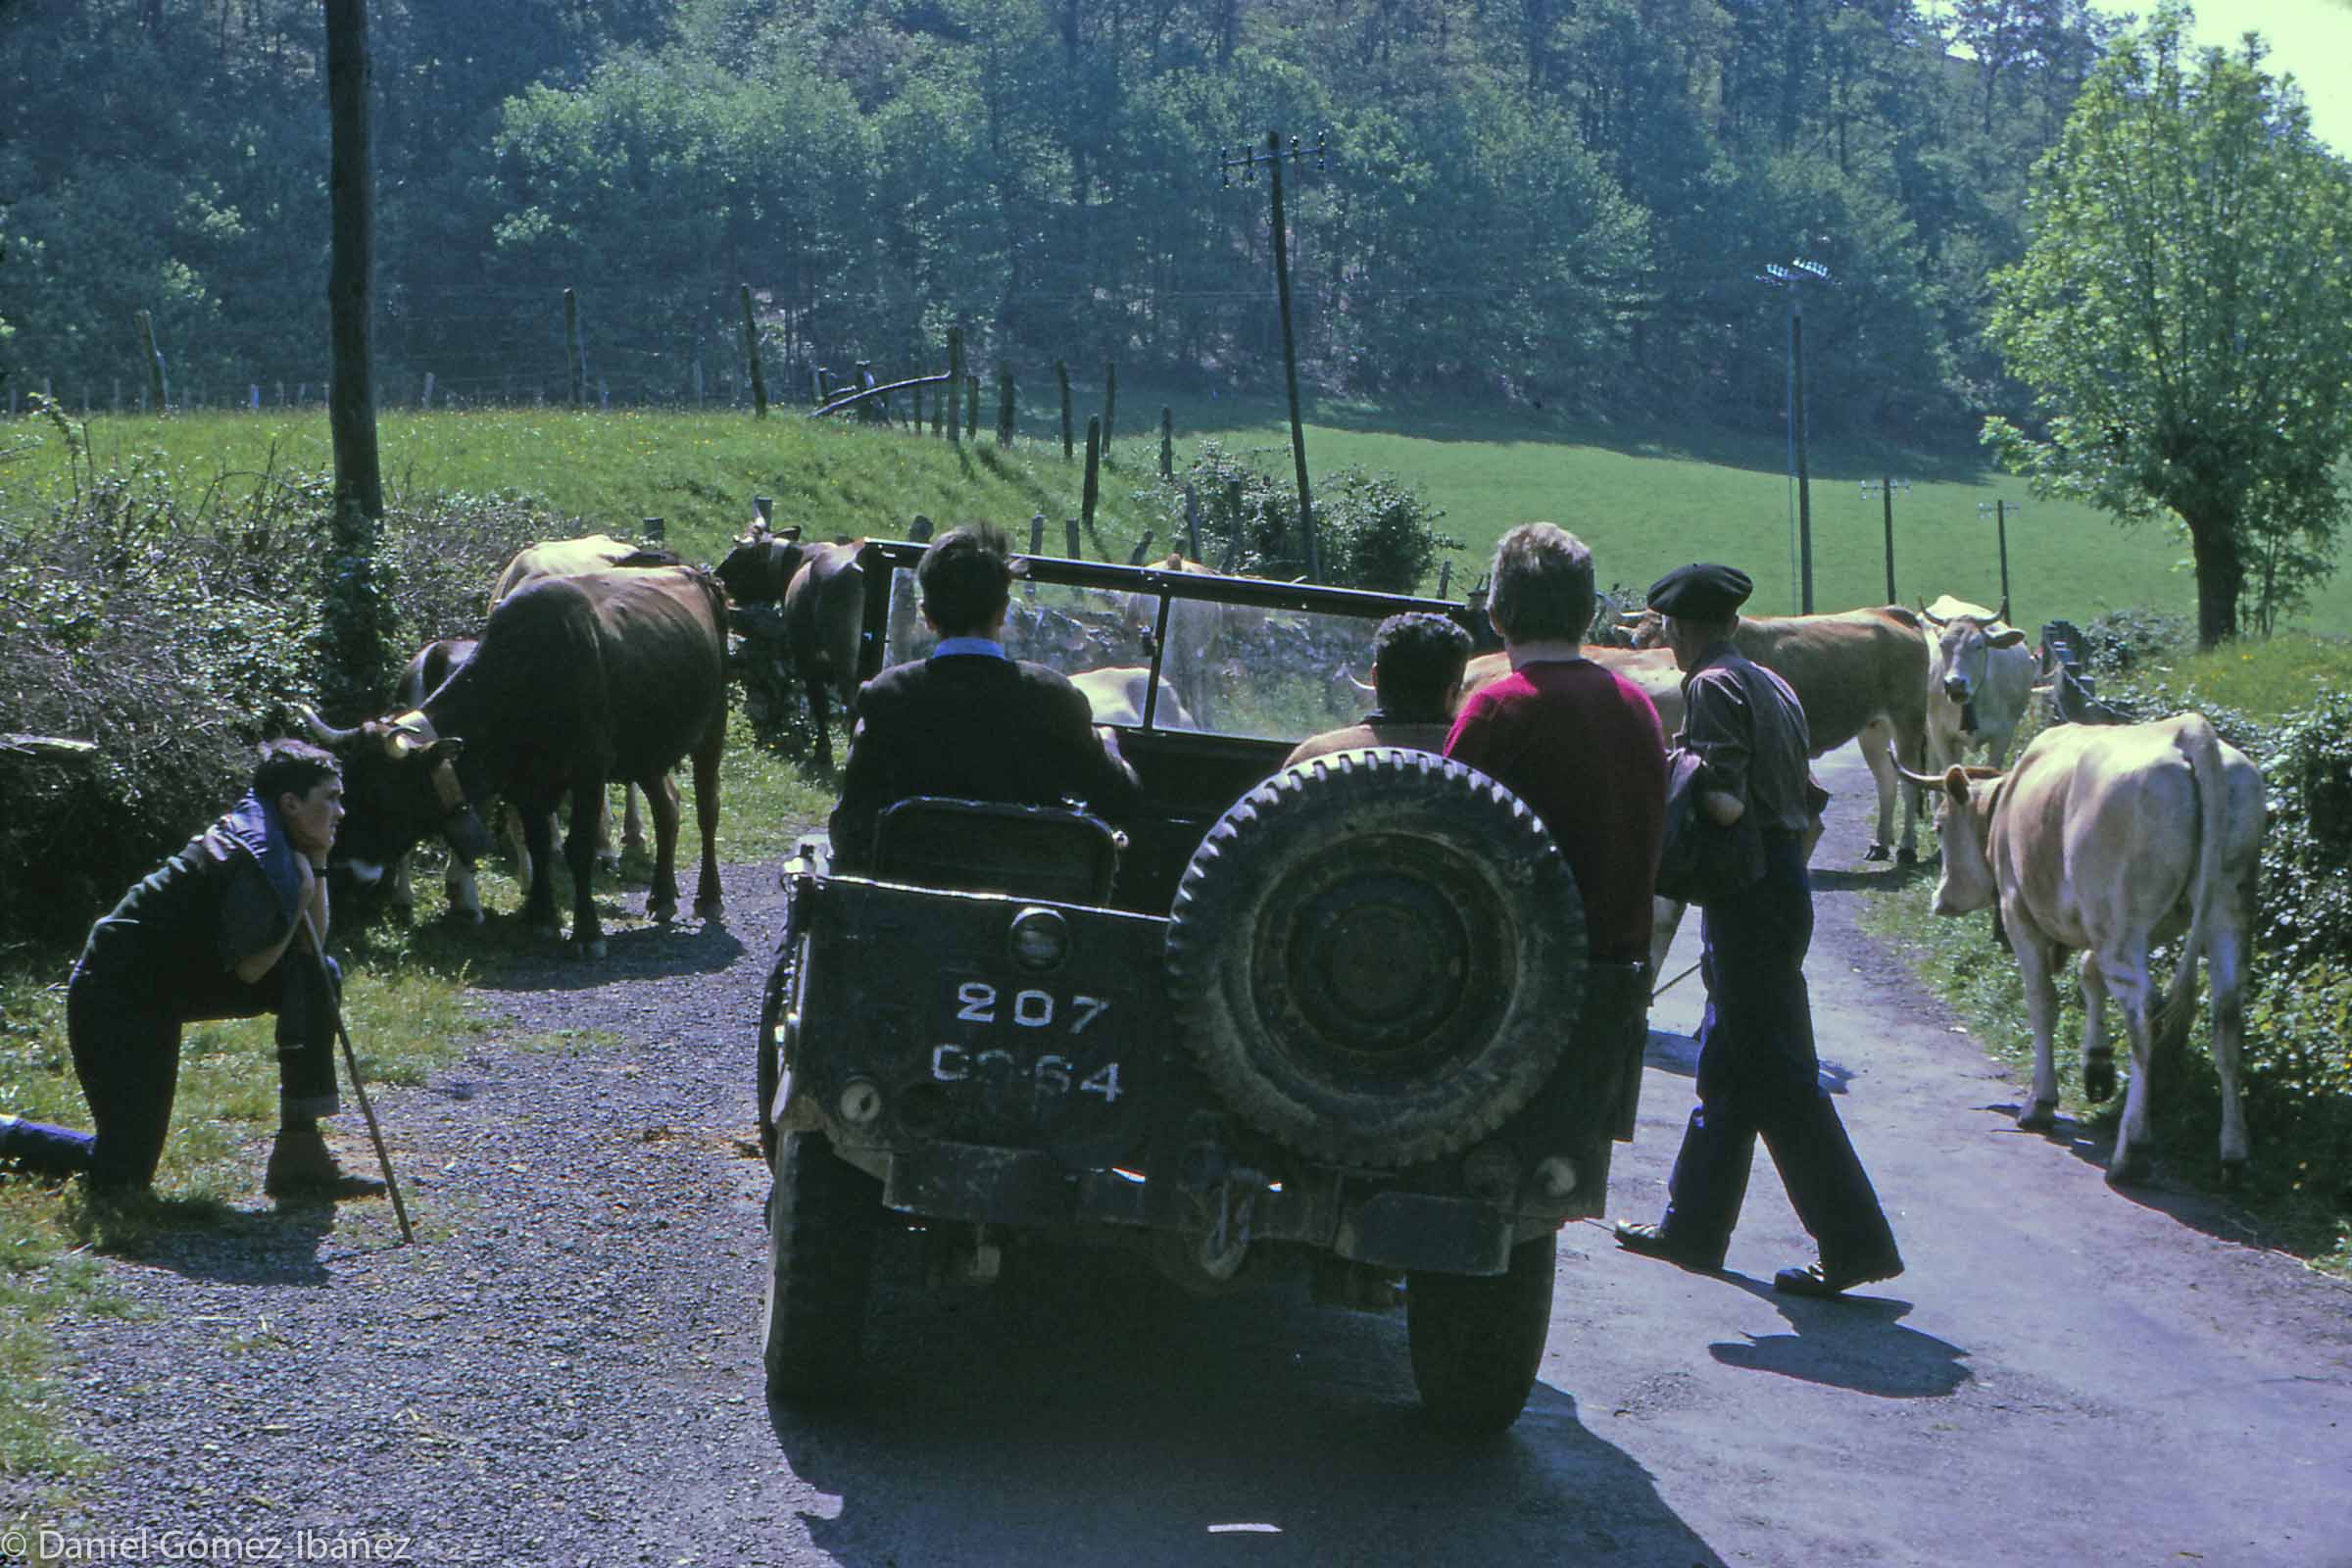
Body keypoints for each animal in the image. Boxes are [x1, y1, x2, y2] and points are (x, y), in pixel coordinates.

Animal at [308, 564, 724, 958]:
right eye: (348, 784)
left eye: (382, 794)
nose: (343, 870)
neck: (529, 675)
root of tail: (696, 575)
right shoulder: (526, 782)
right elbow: (537, 842)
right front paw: (541, 915)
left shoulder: (590, 771)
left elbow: (578, 847)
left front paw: (586, 932)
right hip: (647, 749)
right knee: (667, 808)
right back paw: (663, 897)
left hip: (709, 733)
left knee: (707, 811)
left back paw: (709, 898)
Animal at [1900, 719, 2267, 1184]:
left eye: (1939, 826)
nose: (1939, 899)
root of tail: (2186, 727)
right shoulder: (2143, 926)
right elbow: (2089, 976)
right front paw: (2097, 1064)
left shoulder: (2021, 915)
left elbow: (2043, 1003)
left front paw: (2040, 1103)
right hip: (2224, 910)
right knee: (2227, 1016)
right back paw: (2234, 1152)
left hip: (2123, 920)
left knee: (2142, 1014)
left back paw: (2131, 1149)